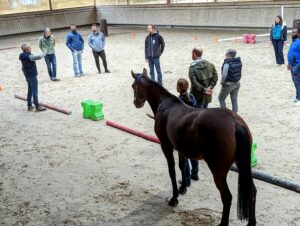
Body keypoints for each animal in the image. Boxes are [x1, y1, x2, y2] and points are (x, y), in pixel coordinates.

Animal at [130, 69, 256, 226]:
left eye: (133, 86)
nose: (136, 102)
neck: (166, 104)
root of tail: (235, 122)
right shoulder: (180, 148)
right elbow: (182, 167)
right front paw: (183, 187)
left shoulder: (166, 146)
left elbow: (172, 171)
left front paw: (174, 198)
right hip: (242, 164)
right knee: (251, 190)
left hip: (218, 170)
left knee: (227, 197)